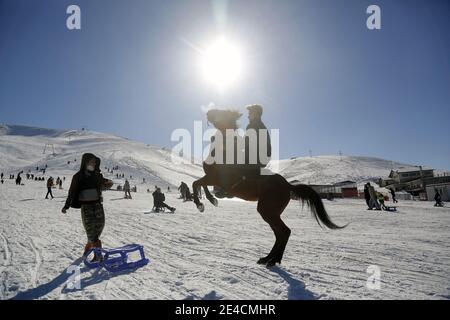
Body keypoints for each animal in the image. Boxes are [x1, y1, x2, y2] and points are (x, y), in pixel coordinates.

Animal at [192, 109, 342, 268]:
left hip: (267, 211)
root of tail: (288, 185)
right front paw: (211, 199)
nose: (209, 113)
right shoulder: (210, 178)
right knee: (279, 234)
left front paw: (200, 204)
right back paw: (268, 258)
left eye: (223, 112)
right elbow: (200, 184)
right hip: (272, 213)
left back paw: (272, 260)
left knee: (284, 232)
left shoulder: (214, 178)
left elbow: (196, 183)